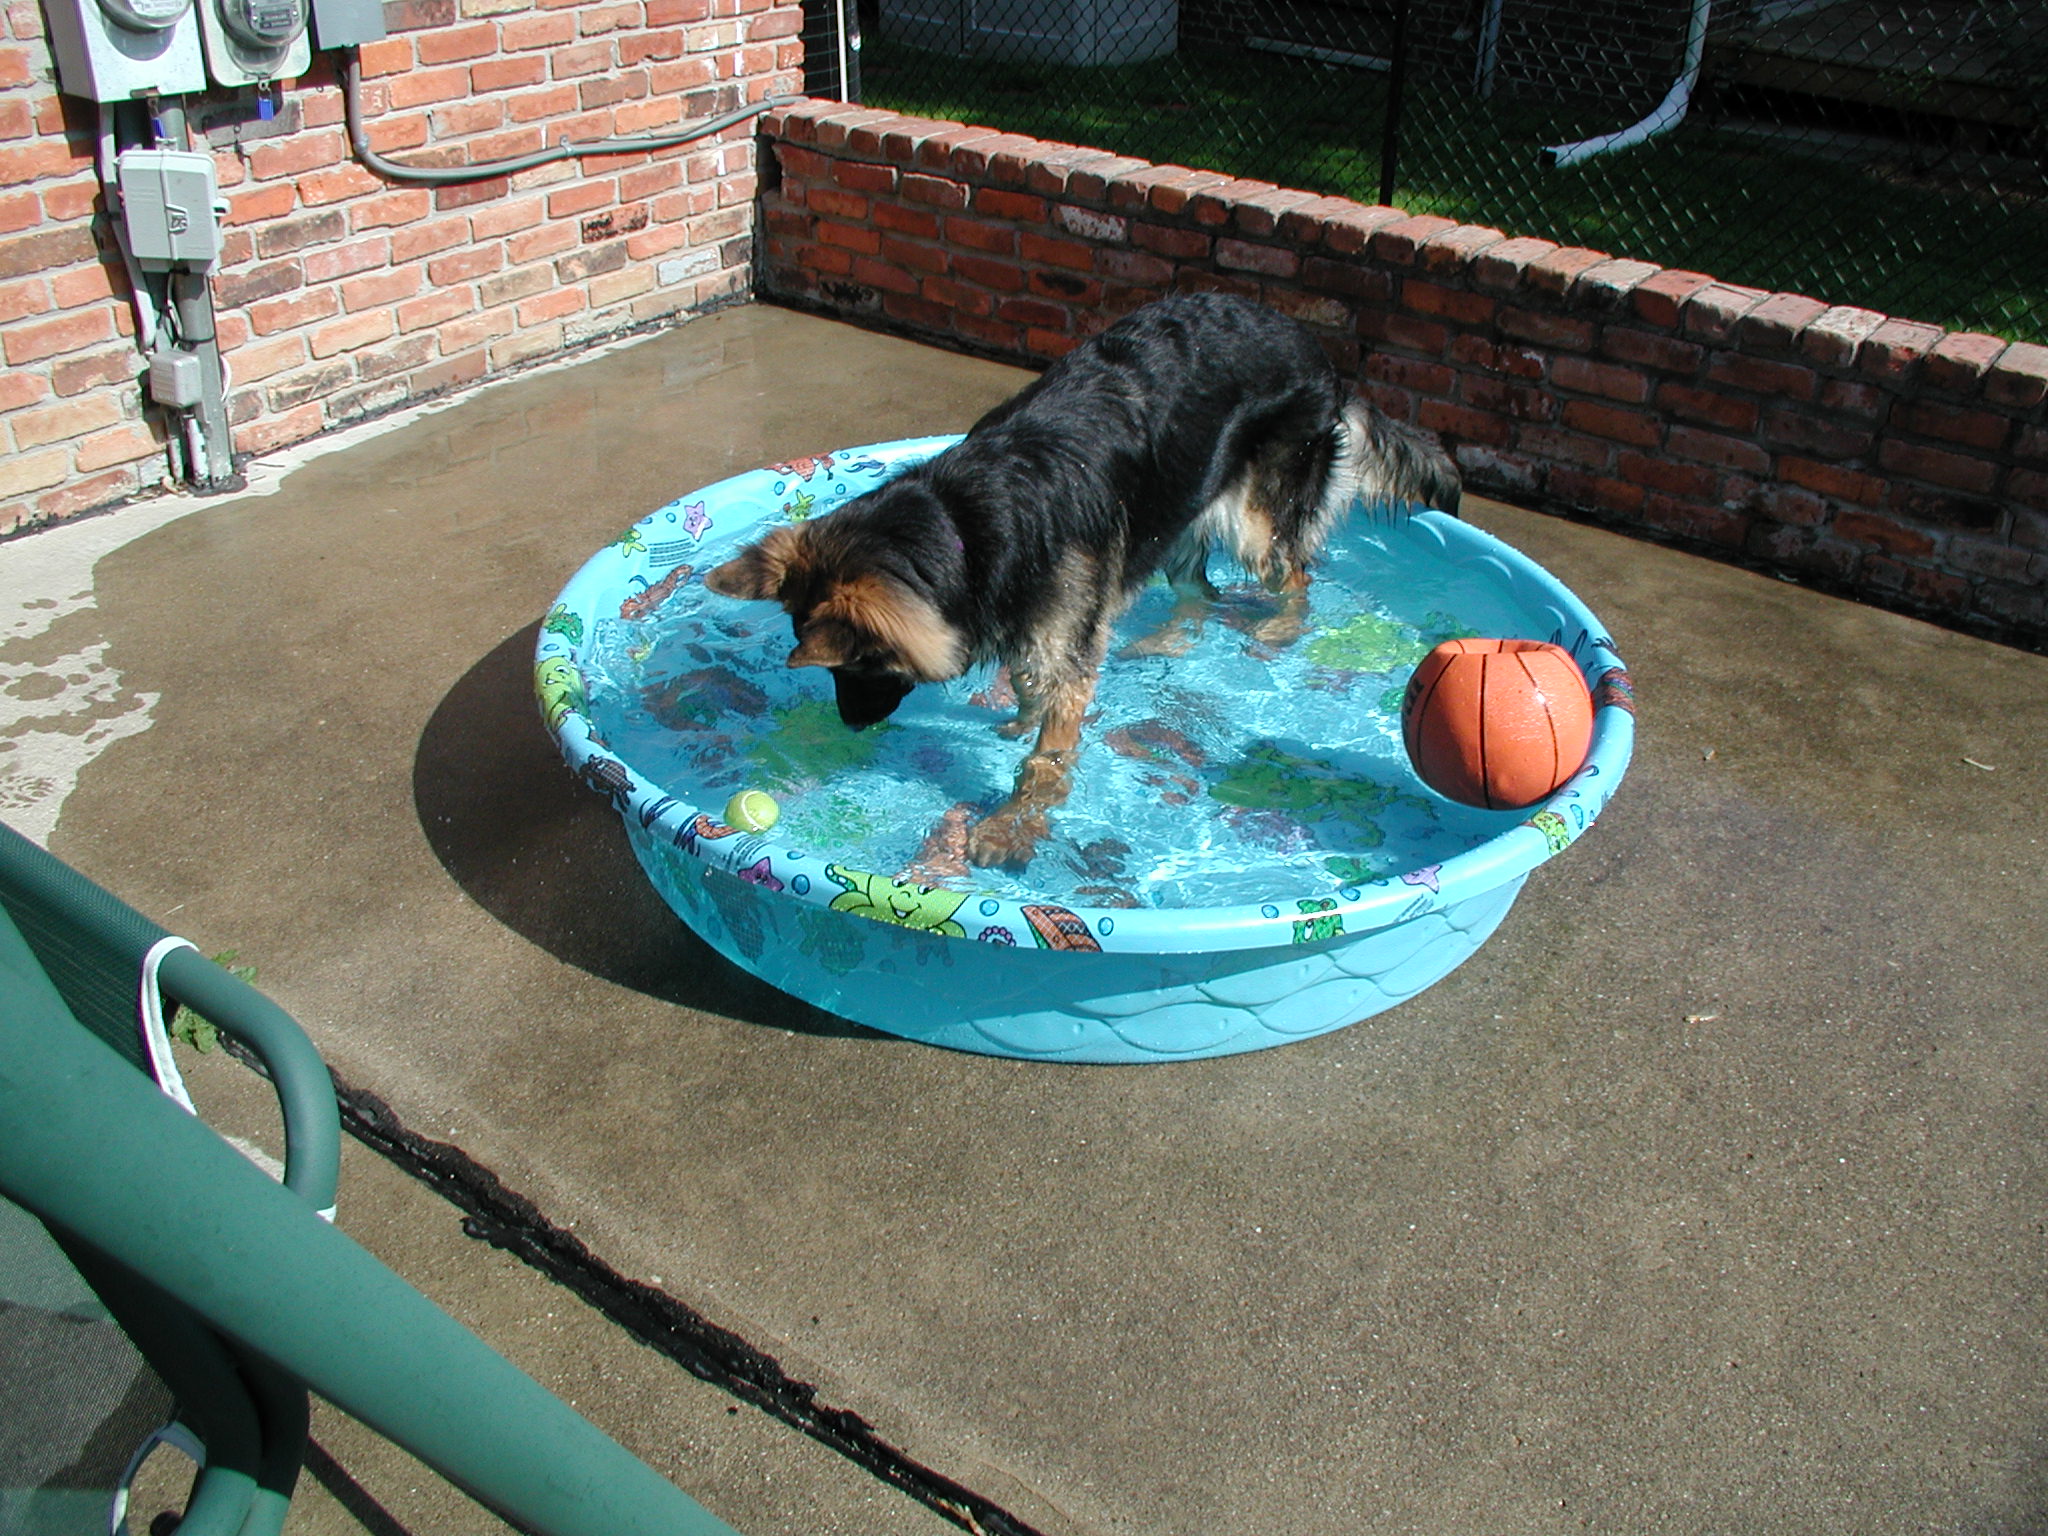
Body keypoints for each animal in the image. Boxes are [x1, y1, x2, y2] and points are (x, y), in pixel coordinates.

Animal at [704, 290, 1461, 870]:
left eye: (860, 665)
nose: (852, 726)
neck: (960, 527)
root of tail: (1312, 342)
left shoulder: (1062, 640)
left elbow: (1045, 763)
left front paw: (1009, 827)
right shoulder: (1037, 616)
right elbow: (1029, 683)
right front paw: (1018, 719)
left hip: (1253, 516)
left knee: (1294, 572)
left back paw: (1279, 628)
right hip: (1177, 508)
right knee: (1200, 591)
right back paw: (1166, 642)